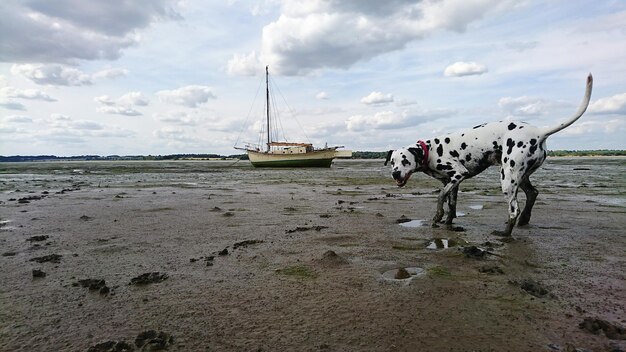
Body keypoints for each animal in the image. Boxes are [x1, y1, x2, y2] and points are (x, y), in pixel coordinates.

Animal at [382, 73, 592, 236]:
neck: (431, 150)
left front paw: (437, 216)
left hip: (507, 179)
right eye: (392, 162)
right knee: (533, 194)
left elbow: (441, 197)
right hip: (520, 175)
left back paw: (505, 233)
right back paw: (524, 219)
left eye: (405, 161)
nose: (395, 173)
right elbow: (452, 204)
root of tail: (539, 132)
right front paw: (448, 221)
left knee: (513, 209)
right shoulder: (452, 182)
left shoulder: (458, 174)